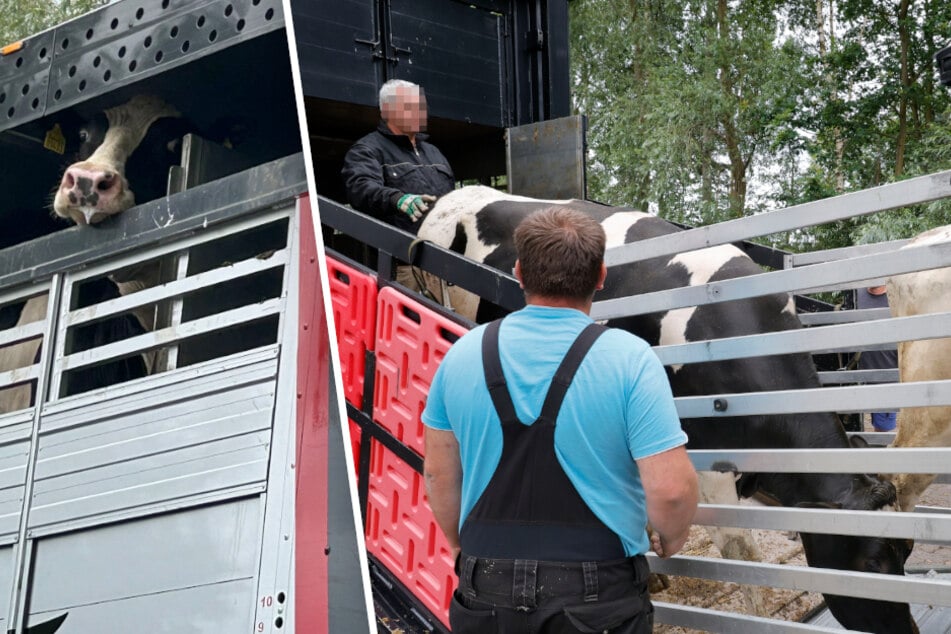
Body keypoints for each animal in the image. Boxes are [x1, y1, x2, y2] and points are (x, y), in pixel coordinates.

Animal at [418, 185, 924, 628]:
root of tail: (452, 196)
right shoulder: (698, 456)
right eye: (872, 562)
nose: (907, 631)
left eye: (907, 551)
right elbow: (741, 550)